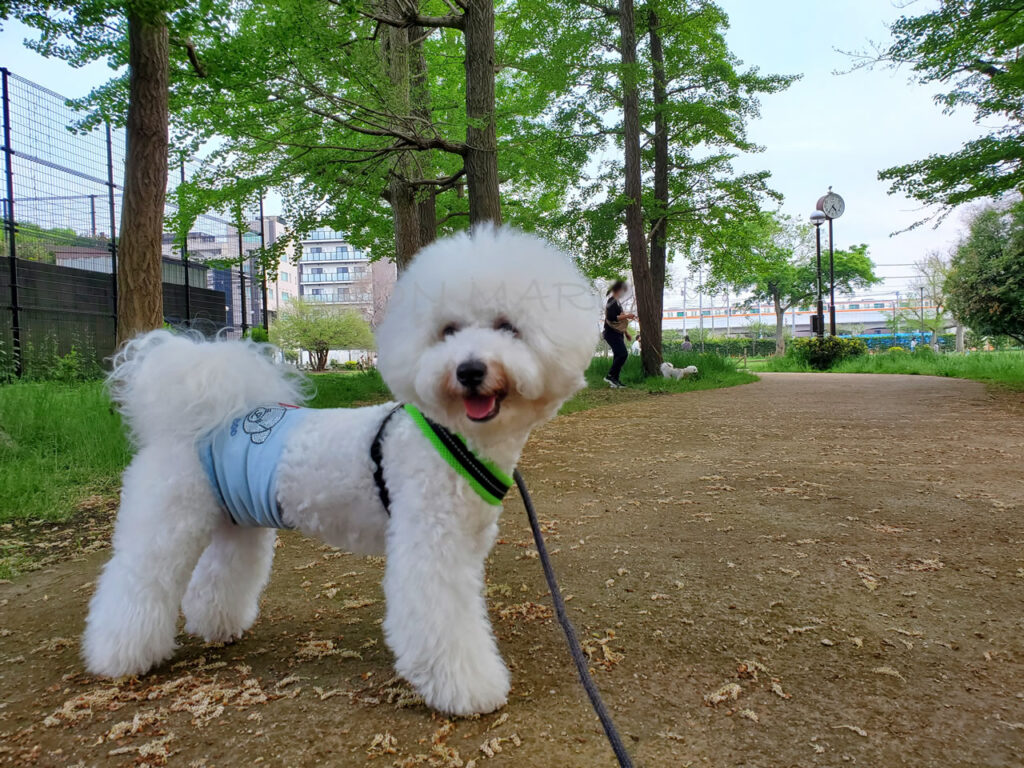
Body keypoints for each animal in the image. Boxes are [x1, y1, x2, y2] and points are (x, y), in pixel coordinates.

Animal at [88, 225, 602, 720]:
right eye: (447, 330)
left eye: (508, 327)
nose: (470, 370)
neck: (455, 437)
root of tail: (199, 418)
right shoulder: (429, 546)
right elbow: (442, 622)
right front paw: (468, 690)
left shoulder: (465, 544)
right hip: (167, 519)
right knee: (136, 581)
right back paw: (118, 656)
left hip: (237, 523)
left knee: (219, 576)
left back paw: (218, 626)